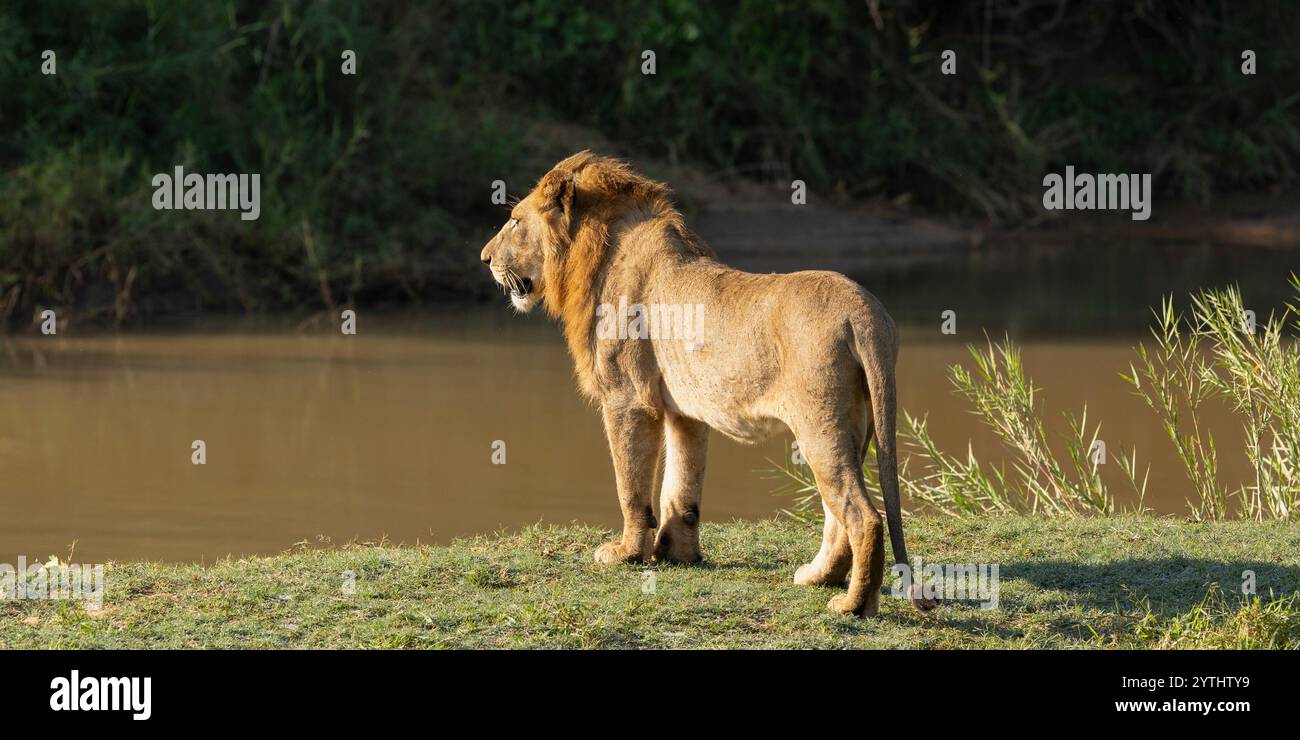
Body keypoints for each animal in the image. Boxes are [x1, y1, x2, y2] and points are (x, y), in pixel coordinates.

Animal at [480, 151, 934, 616]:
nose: (484, 258)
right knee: (837, 514)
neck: (595, 251)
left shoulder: (628, 399)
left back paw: (852, 605)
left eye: (514, 221)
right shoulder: (686, 411)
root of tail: (865, 312)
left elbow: (632, 484)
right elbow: (682, 485)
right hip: (857, 424)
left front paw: (626, 553)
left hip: (820, 423)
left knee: (863, 516)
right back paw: (817, 577)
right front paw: (677, 552)